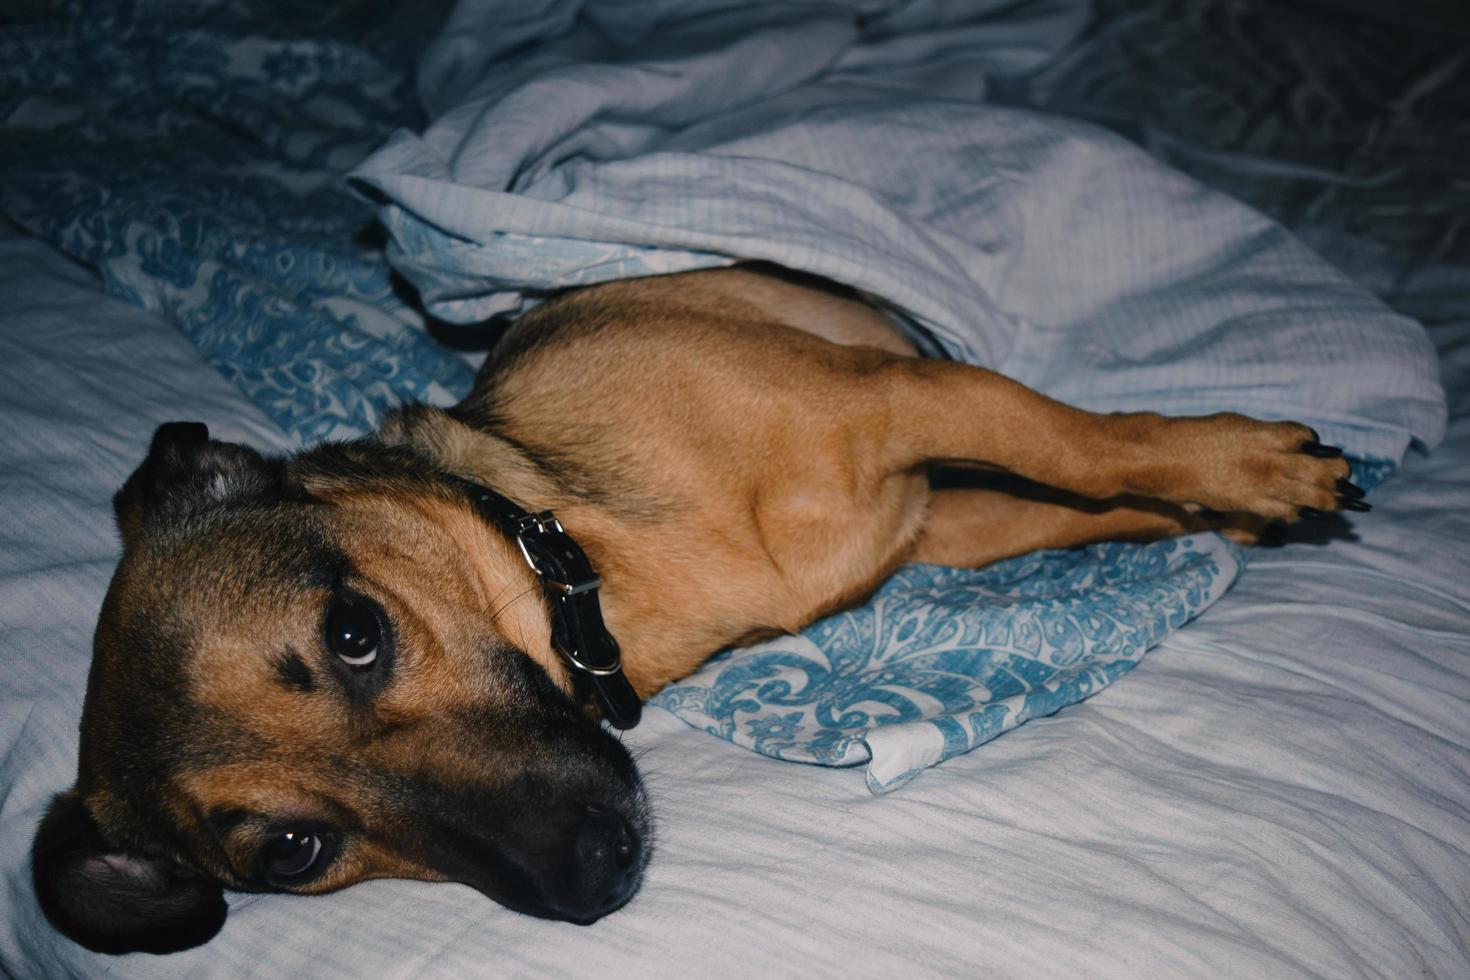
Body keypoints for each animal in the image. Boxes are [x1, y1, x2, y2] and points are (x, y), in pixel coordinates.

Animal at [28, 264, 1358, 952]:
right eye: (296, 849)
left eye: (354, 634)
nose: (592, 876)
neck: (591, 553)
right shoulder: (939, 509)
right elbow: (1090, 496)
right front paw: (1227, 500)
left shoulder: (910, 401)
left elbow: (1090, 445)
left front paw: (1243, 469)